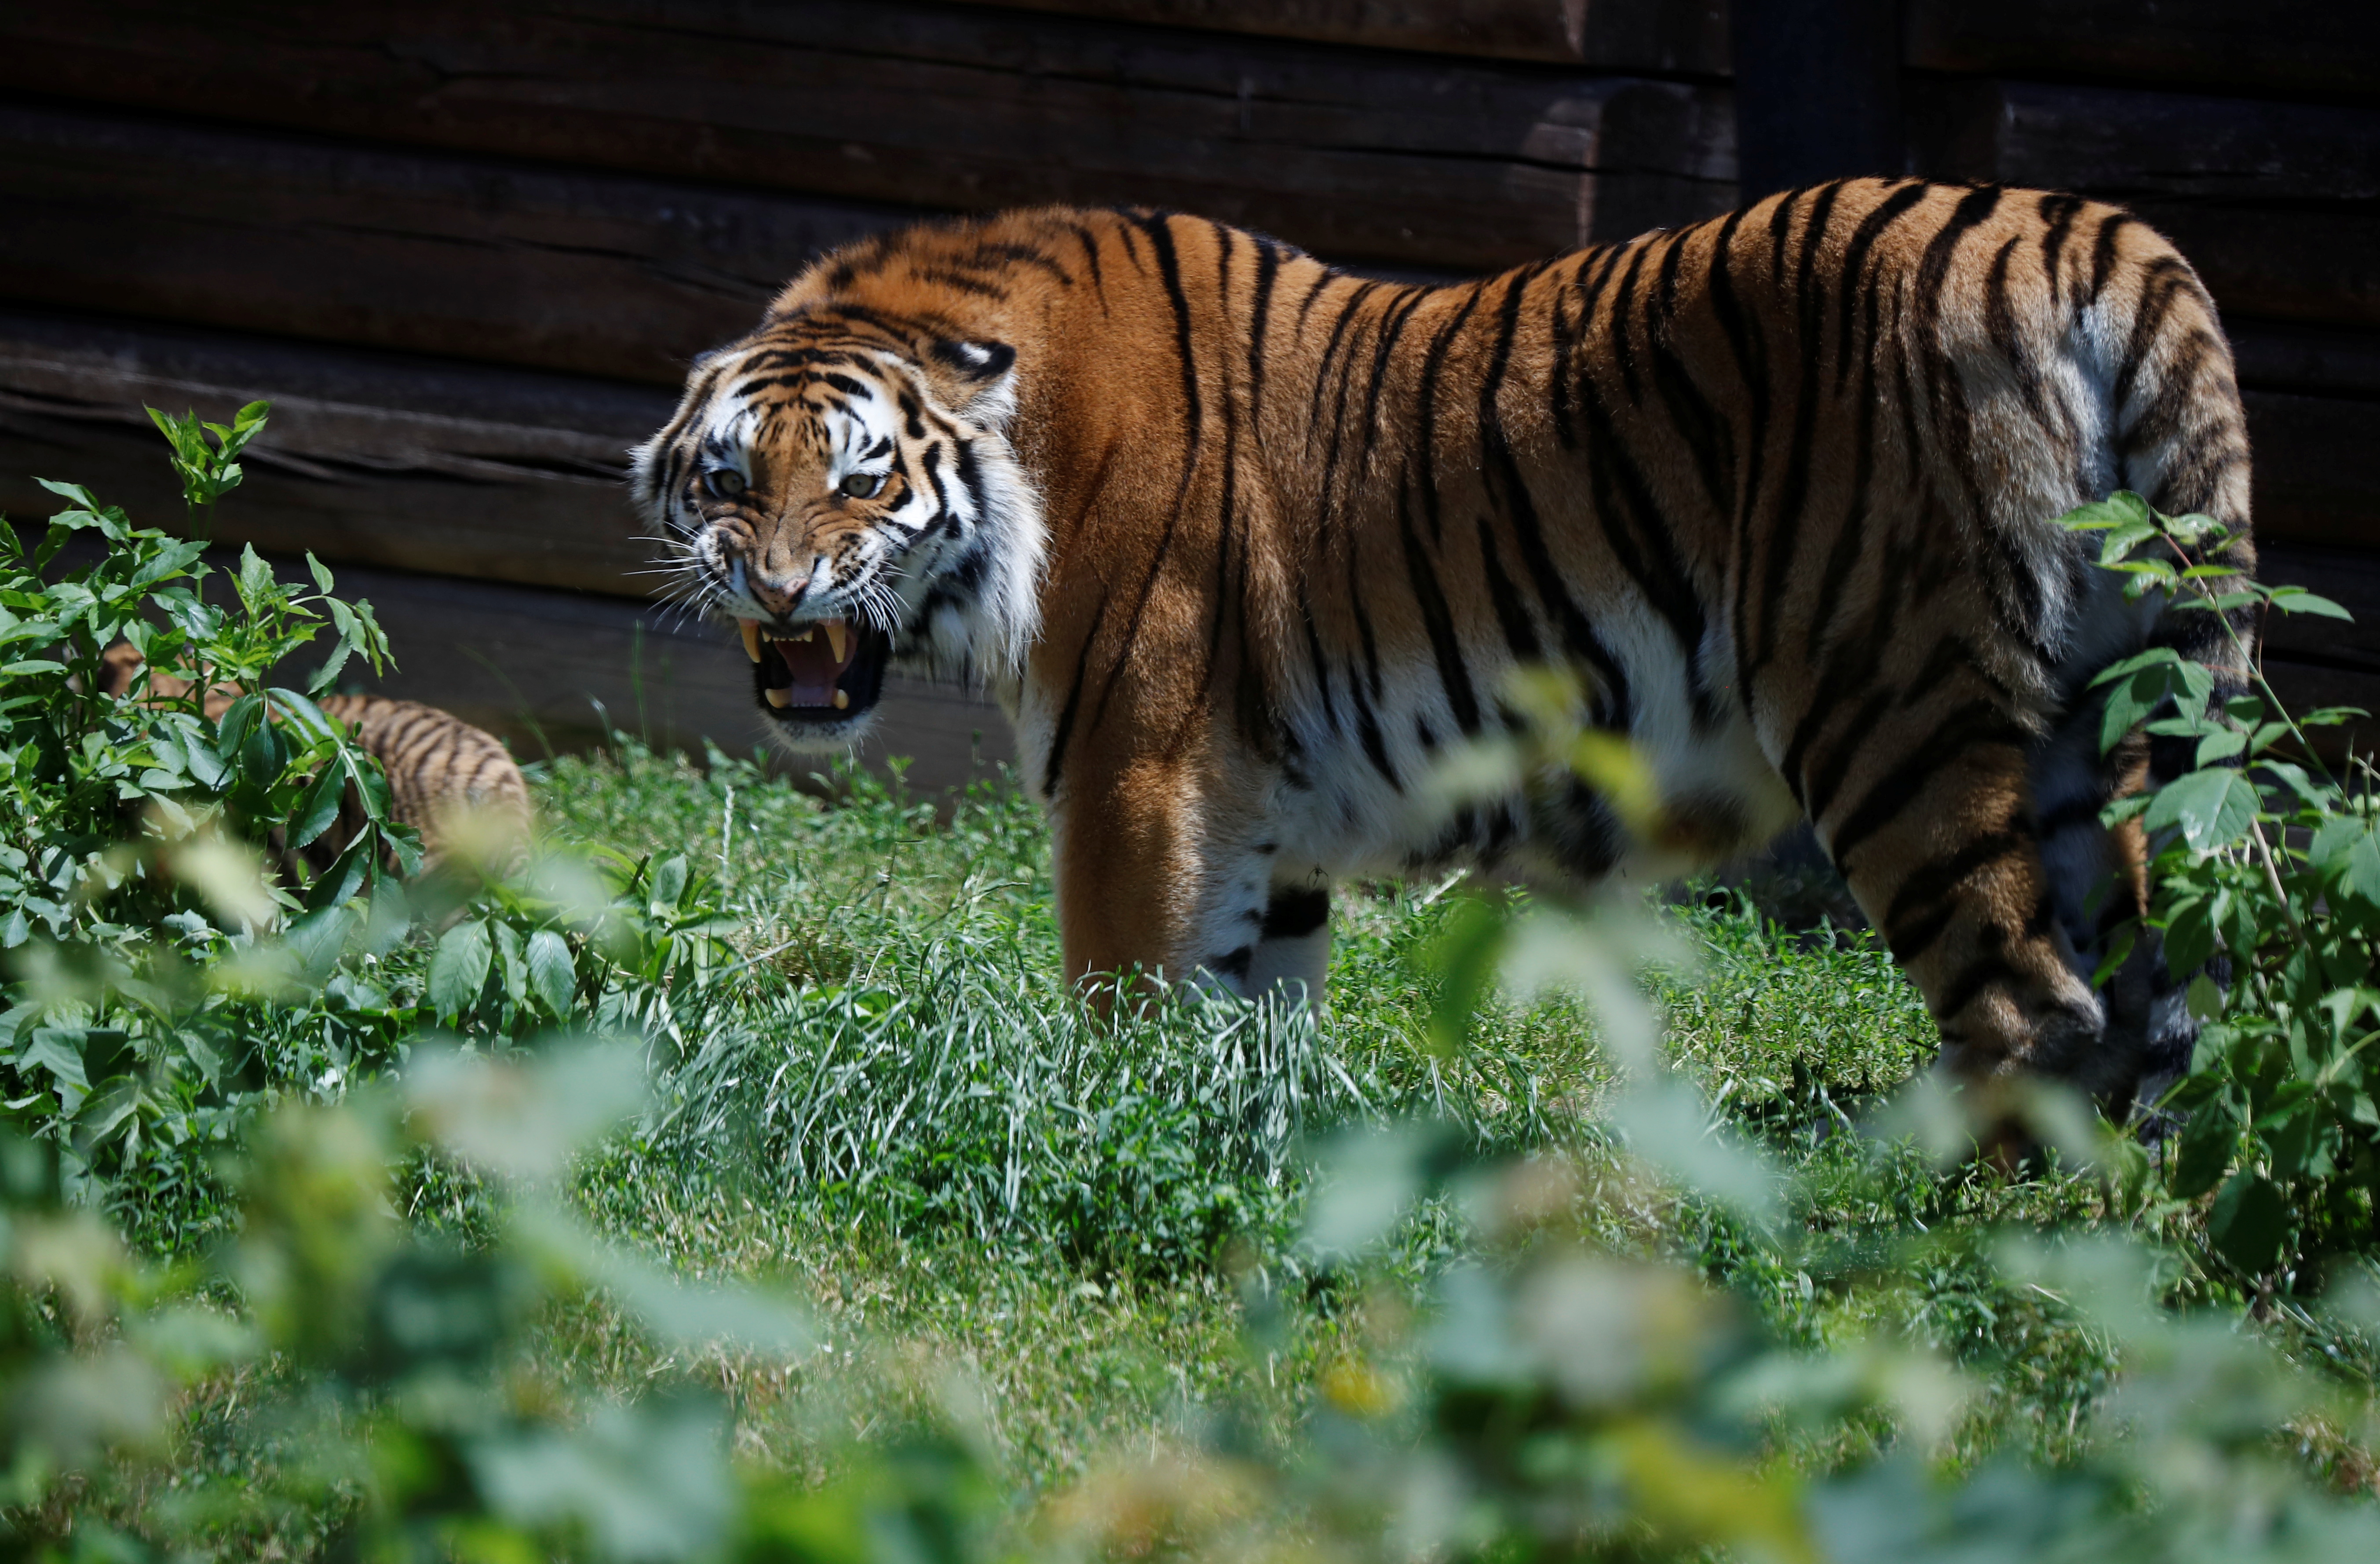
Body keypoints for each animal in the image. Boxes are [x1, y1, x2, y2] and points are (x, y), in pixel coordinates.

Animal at [633, 183, 2246, 1109]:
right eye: (728, 480)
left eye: (860, 482)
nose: (775, 586)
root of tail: (2092, 235)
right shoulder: (1260, 817)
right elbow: (1251, 1030)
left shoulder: (1138, 776)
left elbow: (1127, 1008)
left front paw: (1108, 1140)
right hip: (2103, 733)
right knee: (2148, 1017)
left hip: (1899, 705)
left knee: (2035, 1014)